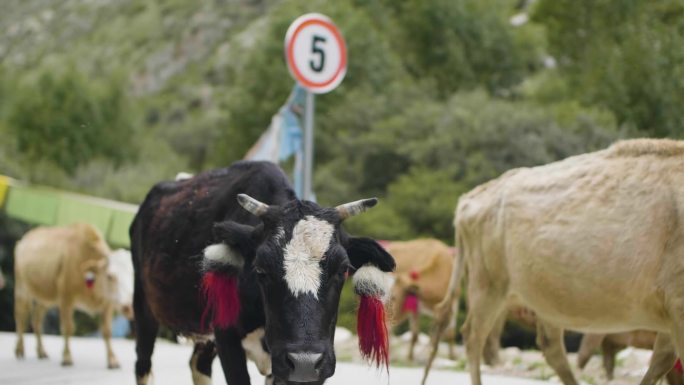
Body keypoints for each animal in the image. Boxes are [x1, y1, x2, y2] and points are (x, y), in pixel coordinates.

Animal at [14, 224, 134, 368]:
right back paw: (19, 349)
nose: (129, 306)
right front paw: (67, 357)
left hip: (46, 297)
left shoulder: (108, 303)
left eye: (134, 275)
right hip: (21, 287)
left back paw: (41, 351)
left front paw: (112, 359)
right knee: (21, 315)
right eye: (110, 276)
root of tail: (24, 239)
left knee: (37, 319)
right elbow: (68, 327)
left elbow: (107, 331)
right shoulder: (66, 296)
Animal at [131, 161, 396, 384]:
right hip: (143, 306)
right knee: (143, 364)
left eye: (343, 269)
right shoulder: (227, 338)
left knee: (199, 364)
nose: (304, 361)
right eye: (261, 269)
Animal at [422, 139, 684, 384]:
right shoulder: (677, 303)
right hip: (487, 283)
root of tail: (470, 197)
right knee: (474, 335)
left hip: (543, 296)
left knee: (550, 346)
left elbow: (663, 358)